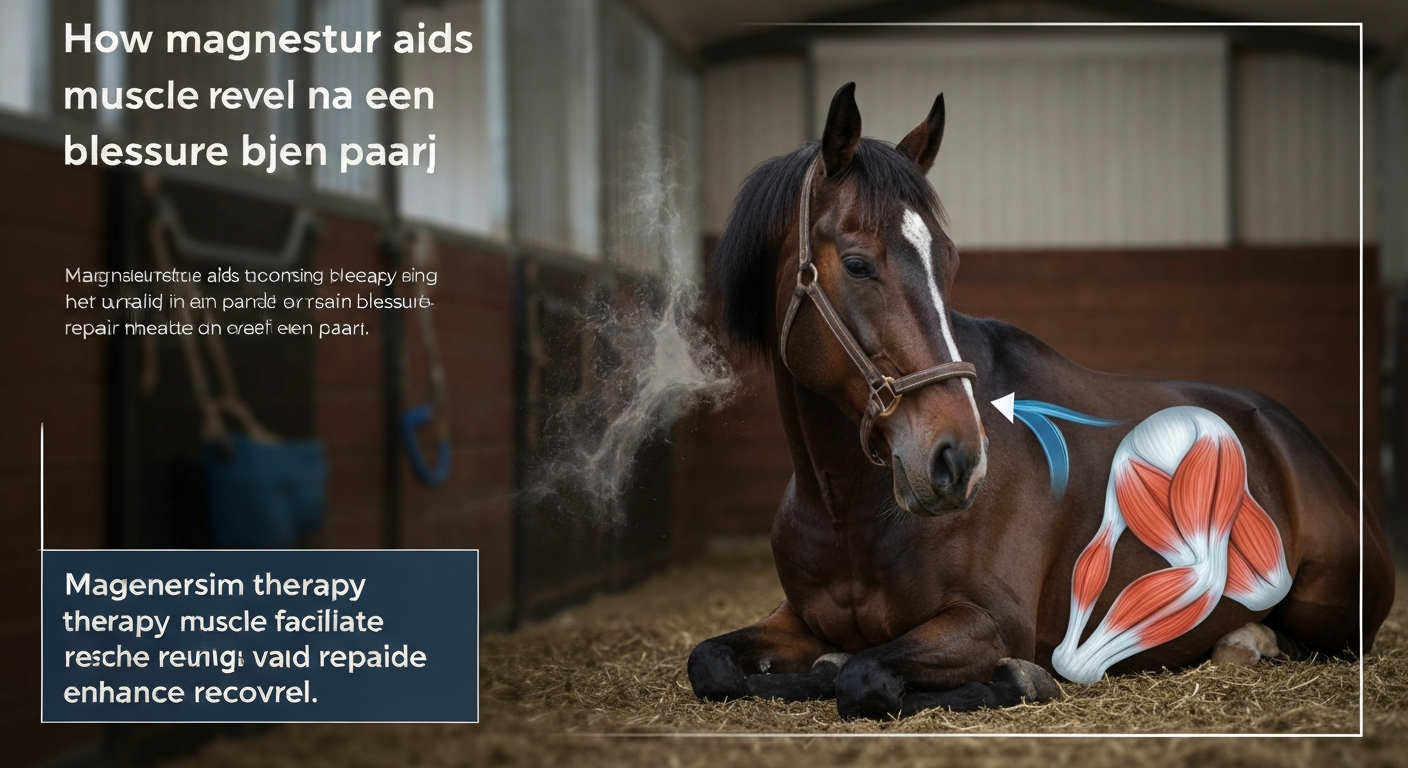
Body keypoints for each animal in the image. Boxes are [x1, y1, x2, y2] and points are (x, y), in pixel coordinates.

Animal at [687, 82, 1396, 720]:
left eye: (949, 265)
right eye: (858, 265)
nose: (958, 460)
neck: (846, 509)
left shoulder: (992, 621)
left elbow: (864, 678)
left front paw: (1020, 679)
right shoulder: (797, 617)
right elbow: (712, 663)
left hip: (1334, 603)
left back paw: (1246, 640)